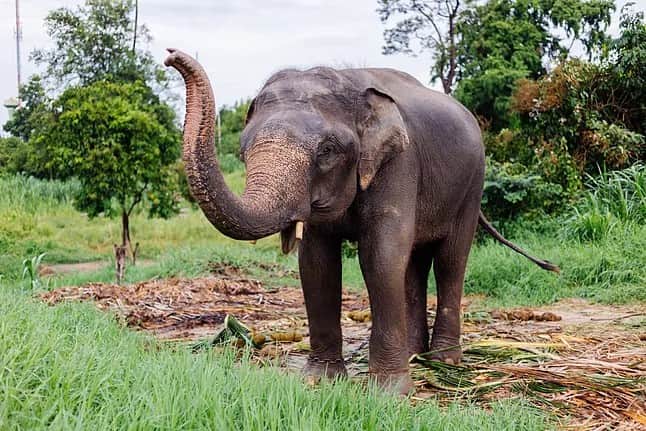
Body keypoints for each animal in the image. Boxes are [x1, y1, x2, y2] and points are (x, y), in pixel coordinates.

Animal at [165, 49, 560, 395]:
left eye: (327, 151)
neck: (350, 82)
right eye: (243, 150)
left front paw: (389, 393)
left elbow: (380, 257)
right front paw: (320, 381)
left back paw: (443, 362)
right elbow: (317, 264)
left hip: (472, 184)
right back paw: (415, 355)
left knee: (450, 260)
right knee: (414, 264)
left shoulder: (399, 163)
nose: (170, 56)